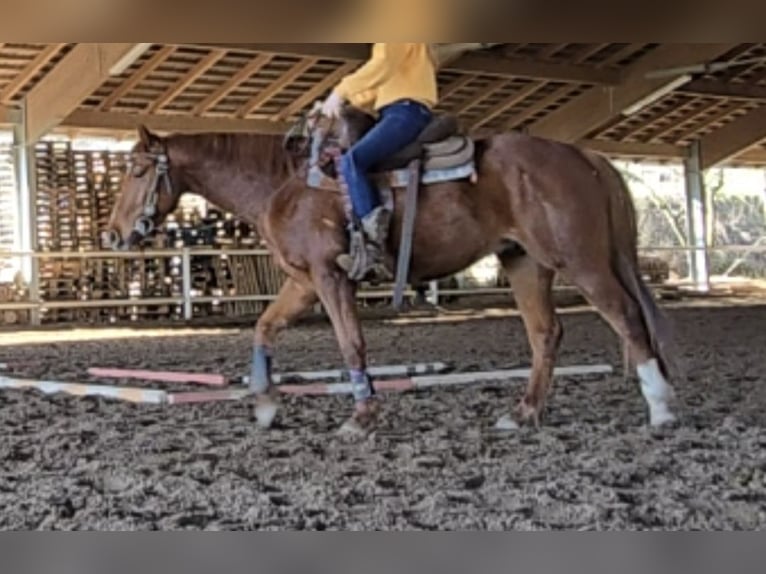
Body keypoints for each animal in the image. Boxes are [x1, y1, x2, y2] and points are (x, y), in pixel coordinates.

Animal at [105, 103, 678, 437]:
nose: (112, 235)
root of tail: (581, 154)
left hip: (580, 260)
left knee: (627, 317)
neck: (284, 181)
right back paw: (523, 414)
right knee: (546, 334)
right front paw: (265, 404)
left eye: (135, 170)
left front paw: (361, 418)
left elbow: (352, 344)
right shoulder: (302, 280)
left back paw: (661, 409)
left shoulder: (329, 276)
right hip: (526, 262)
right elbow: (265, 327)